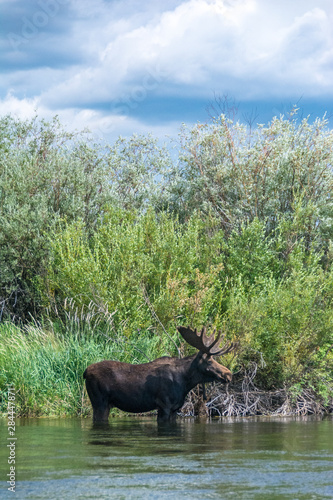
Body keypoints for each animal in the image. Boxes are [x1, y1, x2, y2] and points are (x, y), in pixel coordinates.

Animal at [83, 324, 233, 422]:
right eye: (209, 362)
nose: (229, 374)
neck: (185, 382)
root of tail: (85, 372)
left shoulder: (175, 409)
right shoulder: (164, 405)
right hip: (99, 402)